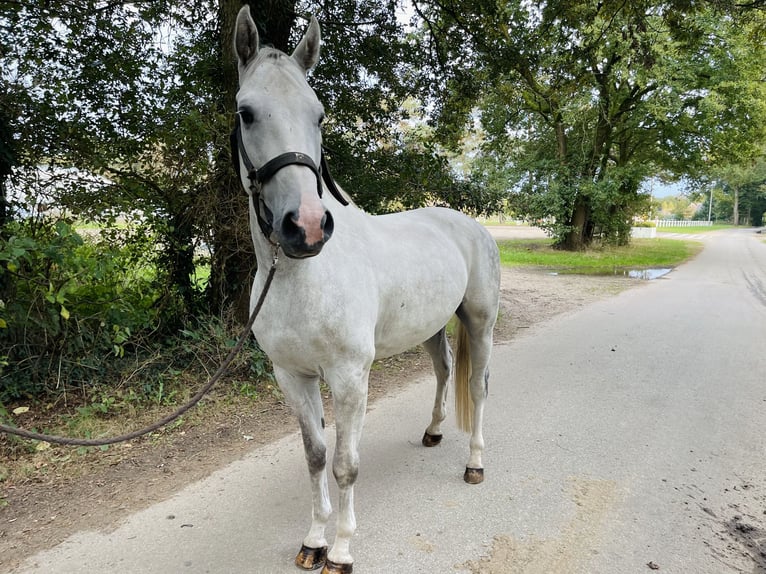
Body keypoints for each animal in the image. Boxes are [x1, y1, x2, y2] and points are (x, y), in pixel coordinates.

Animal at [231, 6, 500, 572]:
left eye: (318, 114)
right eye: (246, 112)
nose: (307, 227)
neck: (304, 278)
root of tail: (470, 224)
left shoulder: (350, 377)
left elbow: (345, 464)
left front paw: (341, 549)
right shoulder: (292, 376)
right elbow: (314, 457)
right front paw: (313, 539)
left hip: (480, 322)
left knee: (477, 386)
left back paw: (475, 464)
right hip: (430, 327)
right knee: (444, 371)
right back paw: (434, 431)